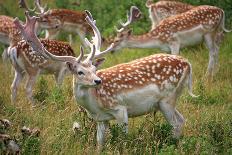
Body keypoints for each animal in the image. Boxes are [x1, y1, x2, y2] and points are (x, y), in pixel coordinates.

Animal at [15, 7, 198, 147]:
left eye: (94, 69)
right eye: (80, 72)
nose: (98, 81)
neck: (96, 105)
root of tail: (187, 64)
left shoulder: (120, 109)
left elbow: (124, 139)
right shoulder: (101, 120)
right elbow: (100, 143)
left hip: (167, 98)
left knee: (175, 123)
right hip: (165, 101)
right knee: (181, 120)